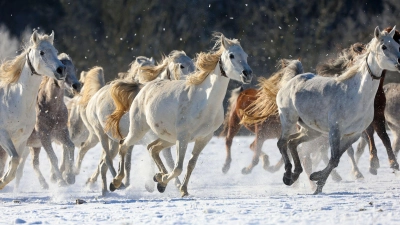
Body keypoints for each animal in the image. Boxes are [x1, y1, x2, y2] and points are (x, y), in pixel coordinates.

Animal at [0, 30, 65, 189]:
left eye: (55, 51)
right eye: (41, 52)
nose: (61, 70)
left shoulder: (21, 140)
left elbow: (14, 164)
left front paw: (2, 182)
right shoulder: (3, 135)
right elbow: (14, 160)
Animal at [9, 53, 80, 189]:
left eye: (73, 68)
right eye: (63, 69)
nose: (76, 86)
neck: (51, 109)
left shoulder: (61, 133)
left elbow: (70, 146)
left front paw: (70, 178)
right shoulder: (44, 136)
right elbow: (53, 158)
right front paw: (61, 181)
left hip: (33, 146)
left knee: (33, 163)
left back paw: (44, 184)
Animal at [82, 51, 194, 195]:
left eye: (193, 62)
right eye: (182, 66)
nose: (194, 79)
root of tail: (96, 96)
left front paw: (165, 183)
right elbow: (164, 159)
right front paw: (160, 184)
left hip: (114, 140)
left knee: (103, 164)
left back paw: (105, 191)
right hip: (101, 134)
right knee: (107, 159)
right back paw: (117, 184)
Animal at [115, 33, 252, 197]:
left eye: (246, 55)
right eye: (231, 55)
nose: (247, 74)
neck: (204, 102)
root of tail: (145, 87)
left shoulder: (204, 138)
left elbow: (190, 164)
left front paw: (181, 189)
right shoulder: (183, 137)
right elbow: (178, 167)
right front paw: (165, 182)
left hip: (167, 138)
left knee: (152, 148)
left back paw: (157, 177)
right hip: (139, 130)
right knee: (124, 145)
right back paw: (116, 182)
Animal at [276, 26, 400, 194]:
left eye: (398, 45)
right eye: (384, 46)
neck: (356, 94)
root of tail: (293, 80)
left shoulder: (353, 134)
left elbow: (336, 159)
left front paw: (318, 181)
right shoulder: (335, 130)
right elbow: (334, 158)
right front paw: (317, 182)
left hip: (311, 130)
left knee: (293, 143)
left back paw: (295, 174)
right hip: (289, 120)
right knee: (282, 143)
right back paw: (288, 175)